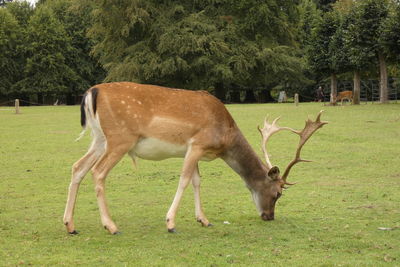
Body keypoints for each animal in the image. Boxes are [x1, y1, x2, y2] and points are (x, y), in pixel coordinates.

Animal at [61, 82, 326, 236]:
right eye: (278, 193)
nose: (269, 216)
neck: (225, 135)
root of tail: (91, 92)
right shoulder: (197, 144)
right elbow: (185, 179)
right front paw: (170, 223)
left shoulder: (194, 150)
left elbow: (197, 181)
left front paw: (204, 220)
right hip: (120, 138)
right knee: (98, 172)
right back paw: (111, 226)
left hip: (99, 138)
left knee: (77, 167)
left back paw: (70, 225)